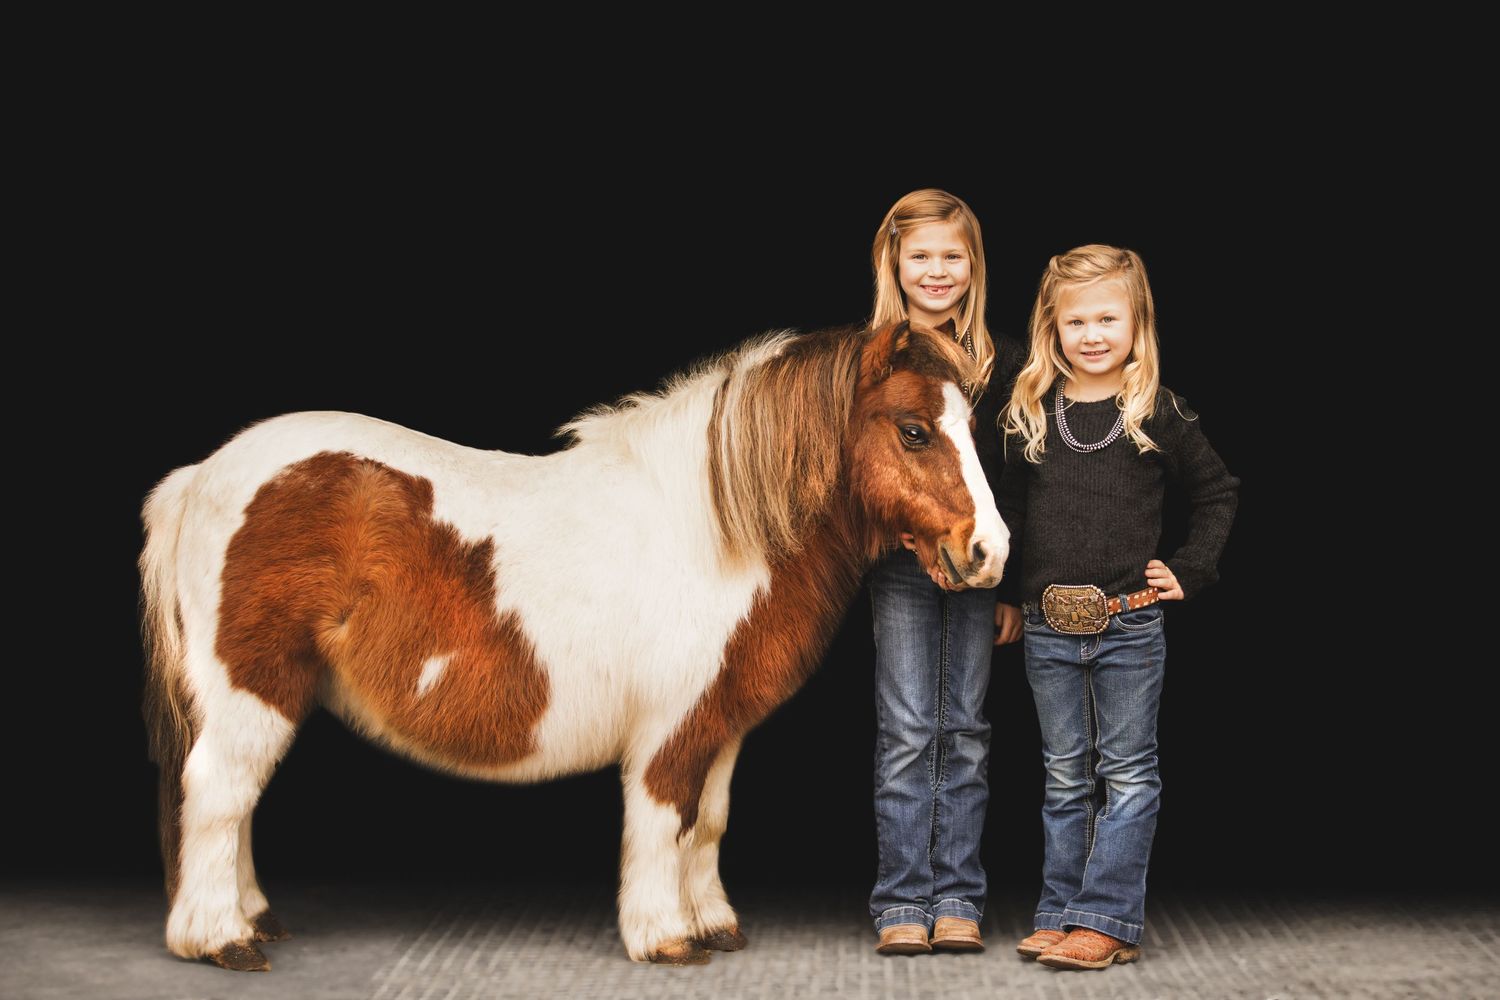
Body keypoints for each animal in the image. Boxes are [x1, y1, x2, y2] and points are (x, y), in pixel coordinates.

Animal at [139, 319, 1009, 971]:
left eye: (971, 428)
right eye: (915, 431)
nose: (989, 552)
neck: (713, 530)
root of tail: (201, 474)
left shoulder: (719, 726)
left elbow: (709, 823)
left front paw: (713, 922)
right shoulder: (669, 731)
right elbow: (662, 822)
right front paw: (664, 937)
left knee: (237, 803)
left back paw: (252, 917)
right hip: (253, 689)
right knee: (218, 794)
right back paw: (220, 939)